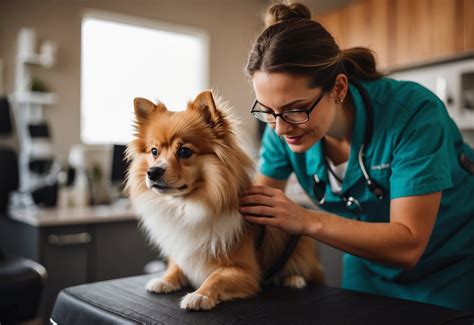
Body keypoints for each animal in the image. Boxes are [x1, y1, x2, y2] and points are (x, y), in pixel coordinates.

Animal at [126, 90, 326, 308]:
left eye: (184, 152)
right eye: (154, 152)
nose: (152, 172)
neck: (187, 207)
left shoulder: (246, 271)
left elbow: (216, 277)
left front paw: (200, 295)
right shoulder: (185, 253)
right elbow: (177, 266)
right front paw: (165, 280)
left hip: (300, 250)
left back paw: (294, 279)